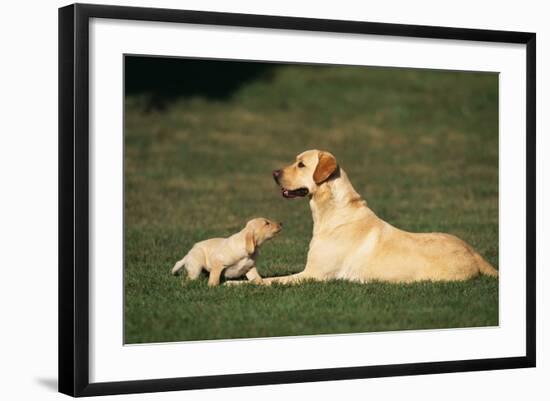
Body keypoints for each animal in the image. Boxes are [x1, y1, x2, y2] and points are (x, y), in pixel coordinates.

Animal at [268, 150, 500, 284]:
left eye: (301, 165)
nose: (274, 173)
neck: (332, 210)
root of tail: (472, 251)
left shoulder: (314, 274)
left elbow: (275, 280)